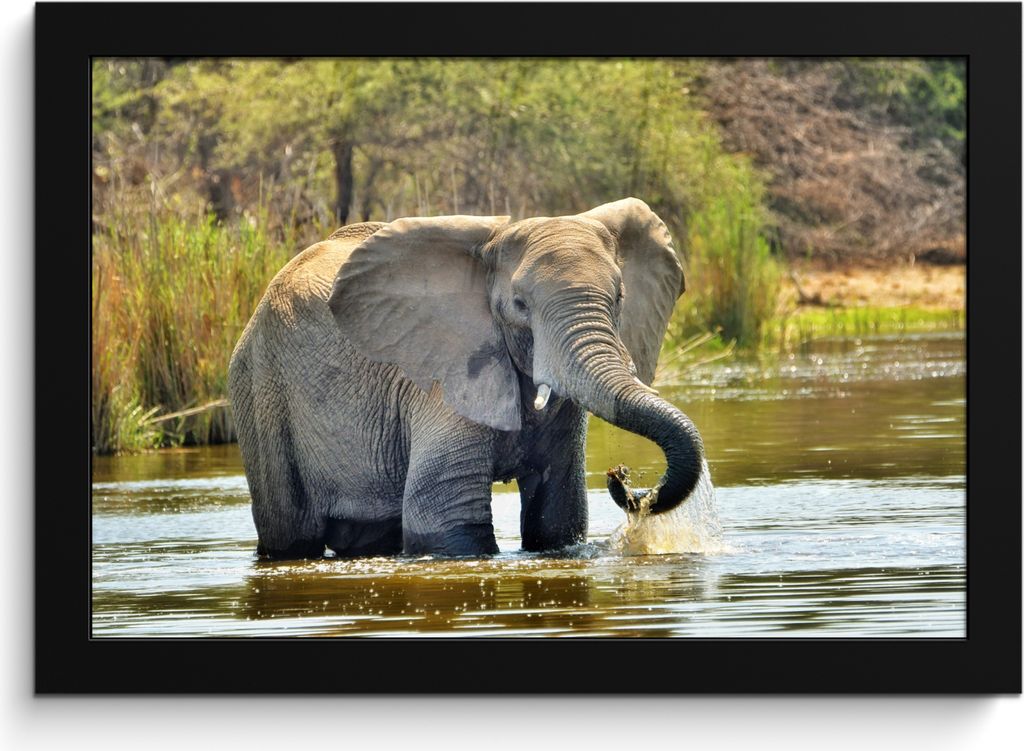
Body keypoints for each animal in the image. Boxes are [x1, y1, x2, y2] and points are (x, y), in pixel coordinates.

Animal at [228, 197, 705, 559]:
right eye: (519, 304)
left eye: (619, 296)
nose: (621, 476)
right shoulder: (441, 376)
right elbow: (445, 518)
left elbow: (557, 516)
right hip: (260, 388)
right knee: (289, 533)